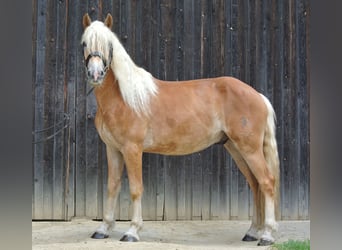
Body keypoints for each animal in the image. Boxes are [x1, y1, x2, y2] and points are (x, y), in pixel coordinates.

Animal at [81, 13, 280, 246]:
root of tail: (258, 95)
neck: (124, 97)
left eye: (109, 44)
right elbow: (112, 187)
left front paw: (132, 231)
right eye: (85, 43)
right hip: (236, 149)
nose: (95, 74)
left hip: (250, 149)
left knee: (267, 182)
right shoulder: (113, 149)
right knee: (255, 184)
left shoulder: (132, 150)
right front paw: (103, 228)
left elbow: (136, 189)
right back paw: (252, 232)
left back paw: (266, 235)